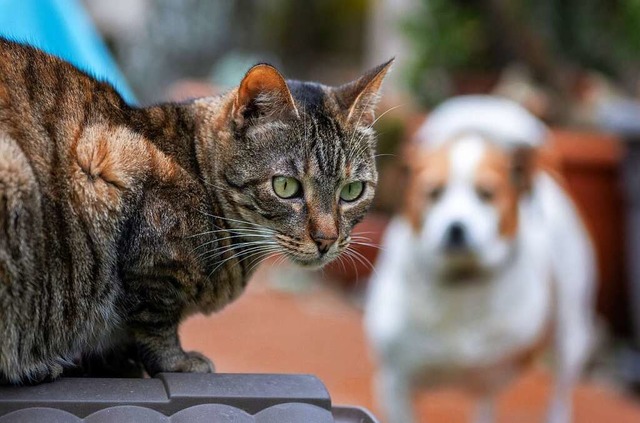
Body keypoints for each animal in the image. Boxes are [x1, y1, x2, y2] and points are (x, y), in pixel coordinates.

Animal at [0, 38, 392, 386]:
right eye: (286, 187)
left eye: (352, 191)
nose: (326, 238)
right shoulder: (123, 190)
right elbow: (156, 324)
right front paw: (177, 362)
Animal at [364, 96, 596, 423]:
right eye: (433, 193)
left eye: (486, 194)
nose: (456, 228)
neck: (461, 283)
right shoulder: (395, 382)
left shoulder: (489, 382)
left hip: (570, 332)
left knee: (560, 390)